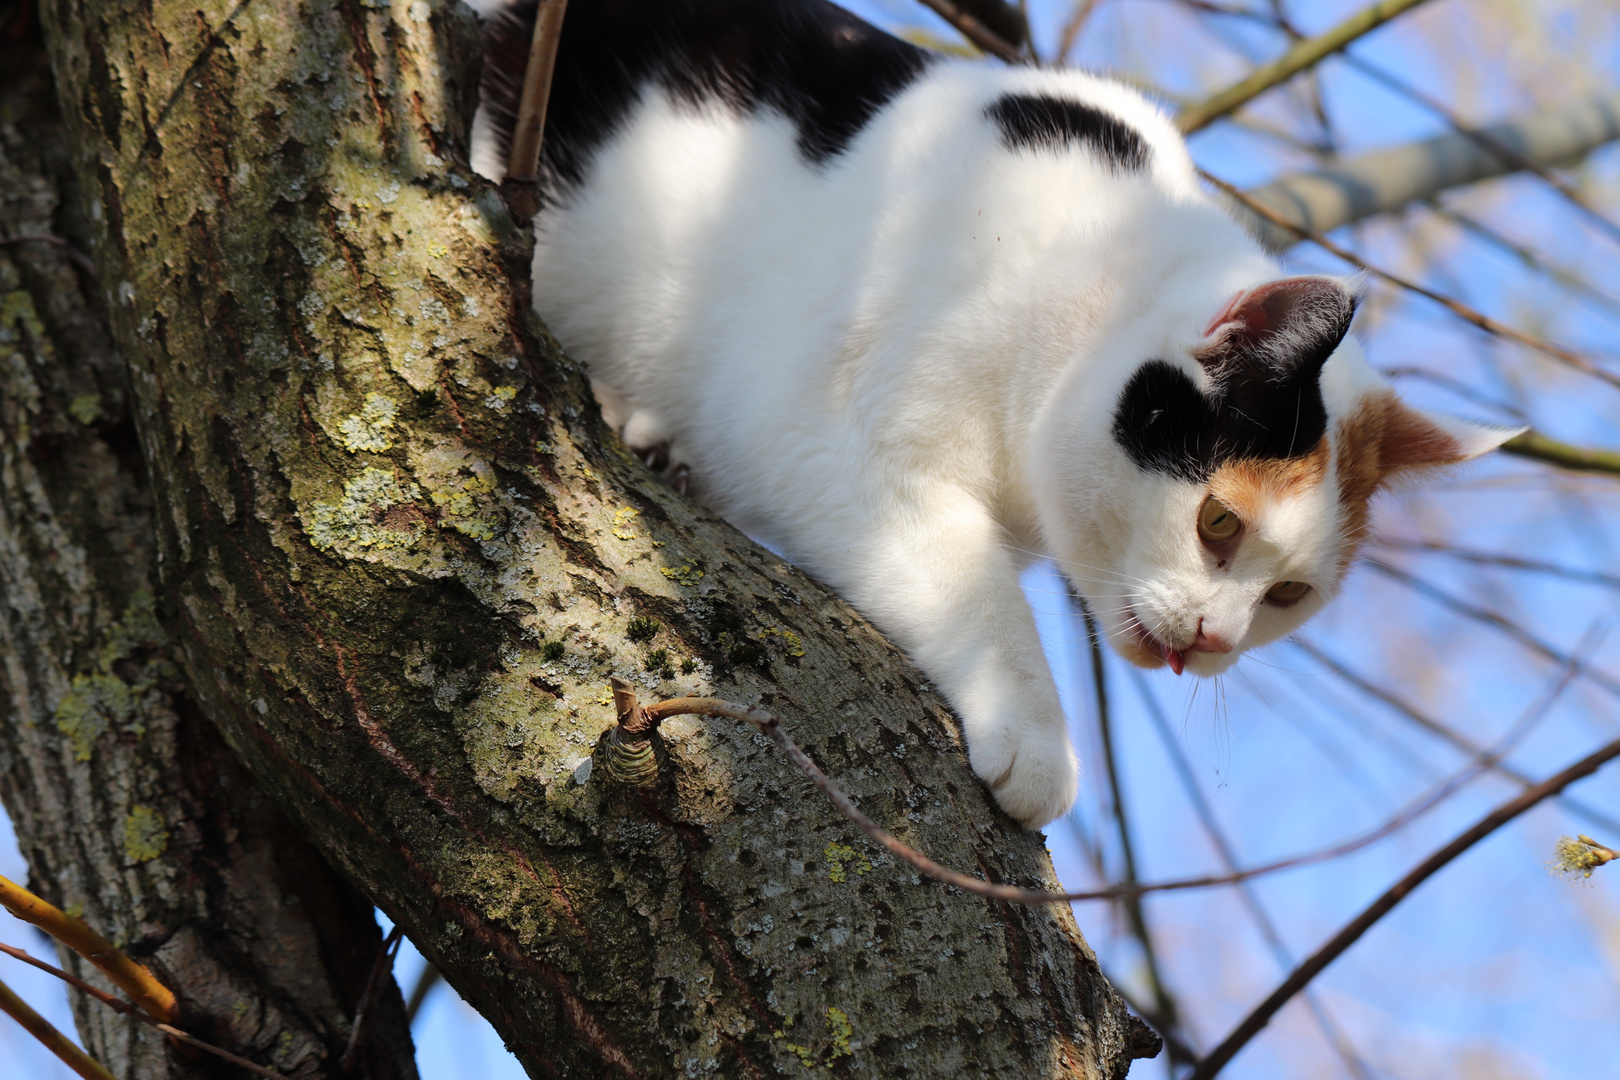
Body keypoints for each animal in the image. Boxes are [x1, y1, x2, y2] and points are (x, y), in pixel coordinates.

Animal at [466, 0, 1516, 829]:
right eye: (1219, 523)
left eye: (1289, 597)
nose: (1217, 639)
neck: (1087, 283)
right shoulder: (821, 432)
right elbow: (977, 585)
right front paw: (1037, 733)